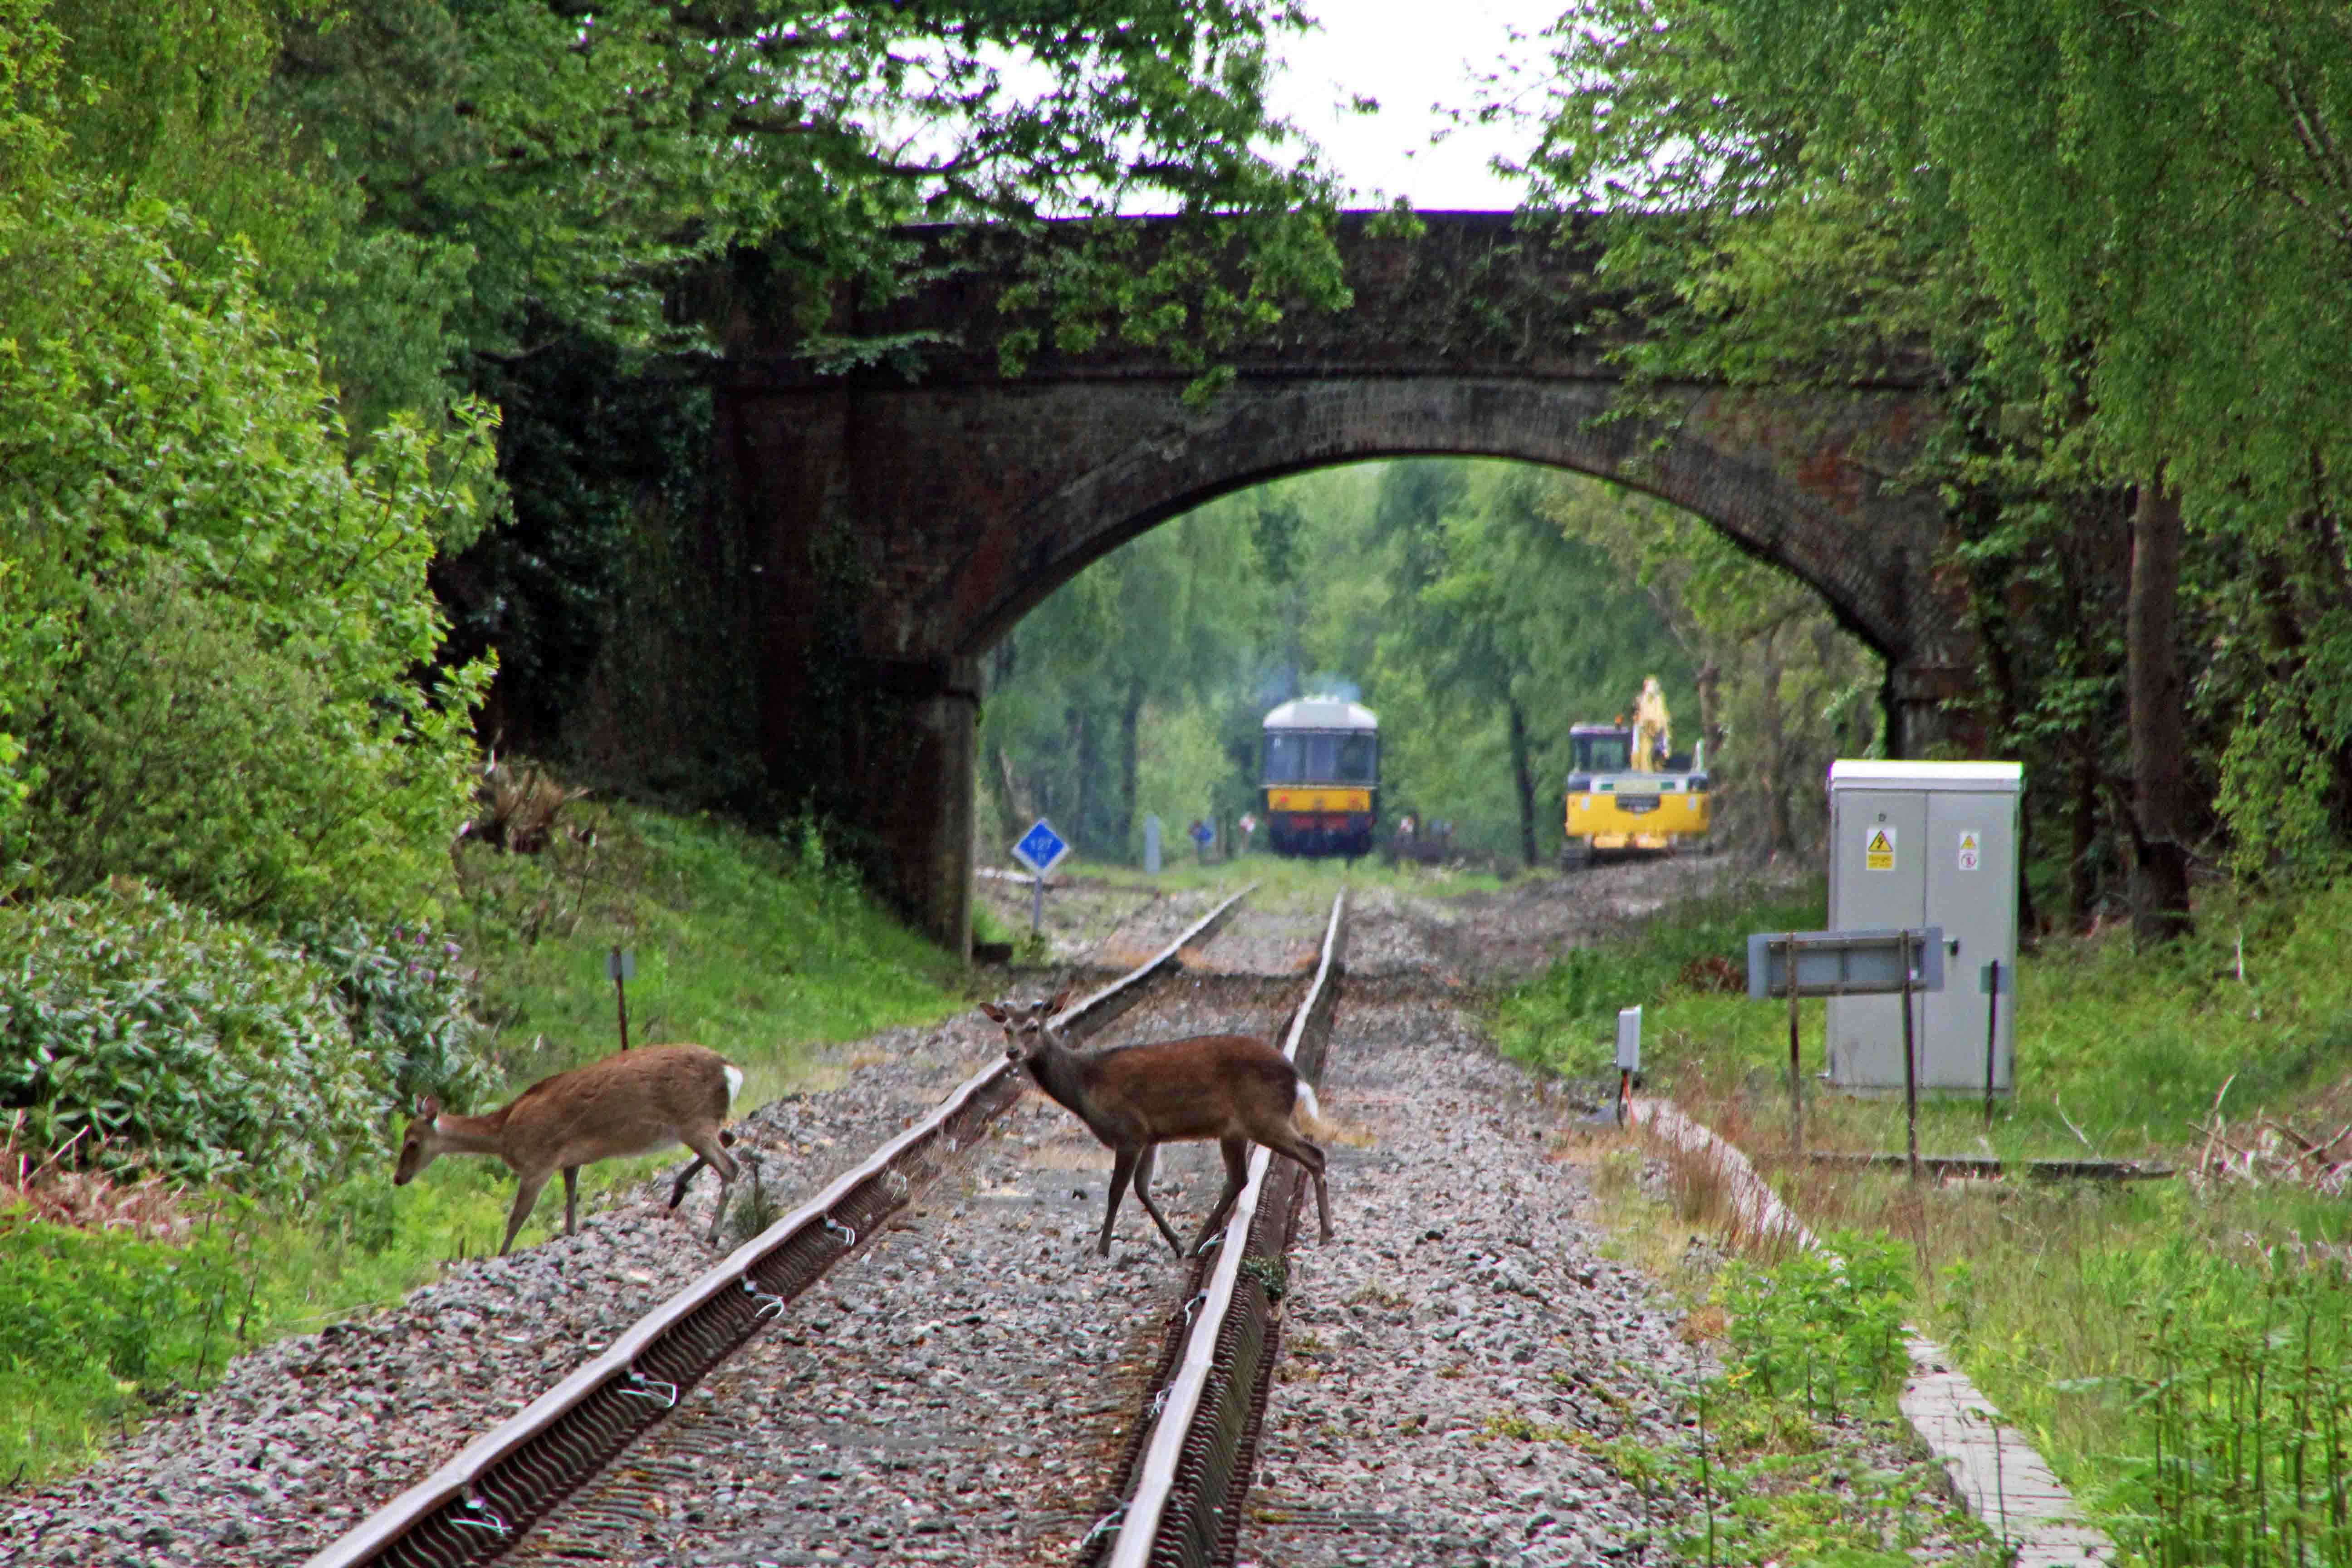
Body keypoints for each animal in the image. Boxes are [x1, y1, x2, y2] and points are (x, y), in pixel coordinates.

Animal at [390, 1048, 748, 1260]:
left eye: (412, 1143)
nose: (398, 1178)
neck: (504, 1132)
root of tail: (733, 1072)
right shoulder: (570, 1162)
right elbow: (571, 1208)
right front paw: (572, 1236)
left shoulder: (538, 1163)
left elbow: (517, 1218)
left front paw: (501, 1255)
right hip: (701, 1123)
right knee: (730, 1138)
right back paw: (678, 1193)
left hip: (694, 1120)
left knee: (730, 1167)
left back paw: (714, 1234)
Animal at [978, 992, 1345, 1260]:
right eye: (1006, 1027)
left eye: (1033, 1027)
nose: (1012, 1053)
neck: (1084, 1086)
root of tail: (1296, 1076)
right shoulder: (1149, 1136)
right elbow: (1142, 1188)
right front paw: (1175, 1243)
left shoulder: (1127, 1131)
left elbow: (1116, 1191)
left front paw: (1102, 1248)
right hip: (1236, 1129)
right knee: (1240, 1178)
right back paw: (1198, 1244)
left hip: (1263, 1116)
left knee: (1313, 1154)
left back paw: (1326, 1232)